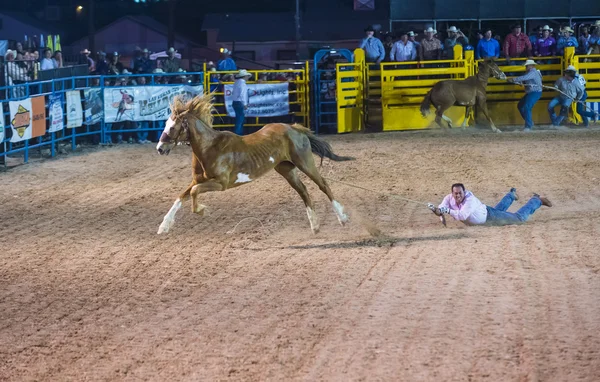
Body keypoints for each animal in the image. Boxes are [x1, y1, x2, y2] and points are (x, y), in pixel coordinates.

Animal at [155, 94, 354, 234]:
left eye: (173, 127)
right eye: (166, 124)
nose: (160, 148)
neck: (210, 147)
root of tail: (293, 128)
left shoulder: (221, 184)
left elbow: (194, 193)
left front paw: (203, 210)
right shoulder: (197, 181)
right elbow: (181, 196)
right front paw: (164, 226)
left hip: (305, 163)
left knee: (323, 185)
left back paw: (342, 218)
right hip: (287, 169)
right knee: (304, 191)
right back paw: (315, 226)